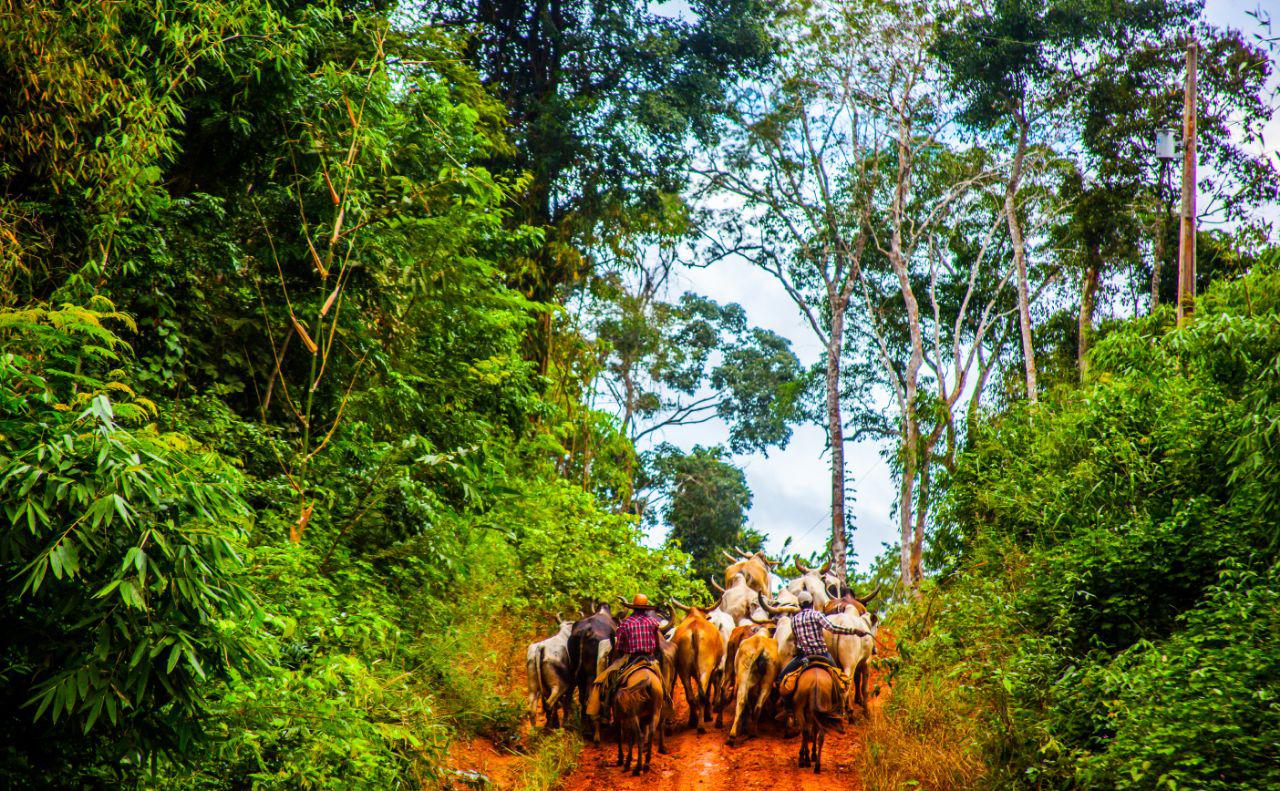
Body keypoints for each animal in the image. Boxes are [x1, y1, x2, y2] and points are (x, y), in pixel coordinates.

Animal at [665, 596, 727, 732]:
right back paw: (702, 724)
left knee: (691, 696)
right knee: (702, 694)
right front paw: (708, 715)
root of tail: (695, 629)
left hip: (683, 671)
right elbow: (708, 691)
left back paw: (693, 720)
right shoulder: (713, 669)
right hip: (705, 669)